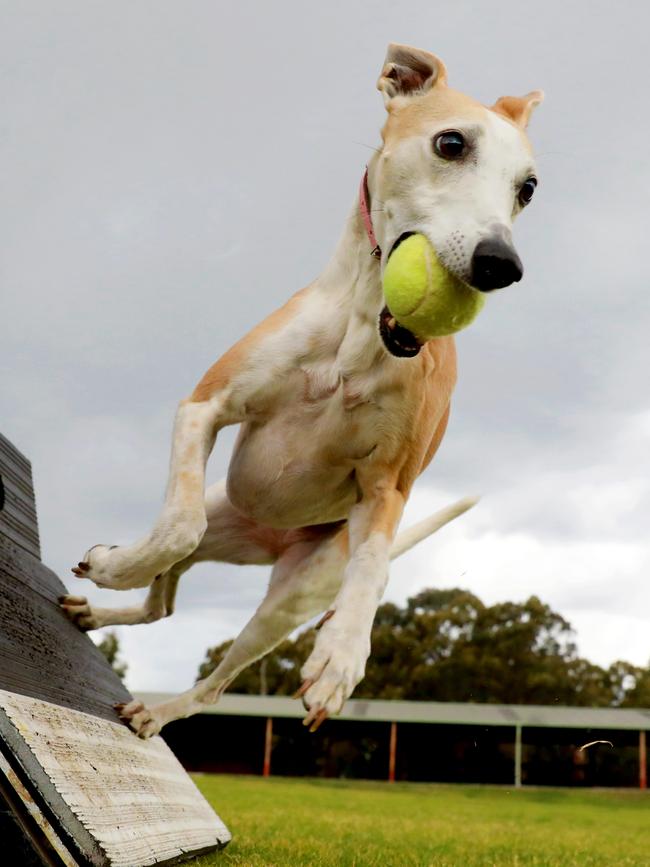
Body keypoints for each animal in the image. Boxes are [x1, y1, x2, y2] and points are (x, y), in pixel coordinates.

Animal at [60, 45, 540, 740]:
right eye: (451, 143)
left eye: (528, 187)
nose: (500, 264)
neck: (361, 328)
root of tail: (270, 541)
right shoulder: (203, 407)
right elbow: (176, 525)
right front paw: (113, 565)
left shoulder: (387, 489)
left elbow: (373, 569)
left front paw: (341, 655)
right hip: (223, 513)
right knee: (169, 576)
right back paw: (107, 597)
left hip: (289, 598)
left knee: (212, 671)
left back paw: (158, 708)